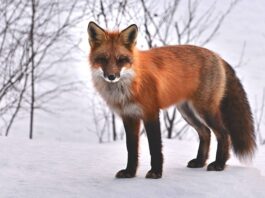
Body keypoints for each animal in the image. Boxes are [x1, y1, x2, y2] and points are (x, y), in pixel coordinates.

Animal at [87, 22, 256, 179]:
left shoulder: (151, 112)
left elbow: (155, 147)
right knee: (205, 133)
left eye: (121, 60)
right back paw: (200, 161)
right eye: (103, 59)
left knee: (223, 133)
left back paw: (219, 164)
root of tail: (217, 56)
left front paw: (156, 172)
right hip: (187, 112)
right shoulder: (129, 116)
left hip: (205, 110)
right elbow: (131, 149)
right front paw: (130, 172)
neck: (129, 84)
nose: (111, 76)